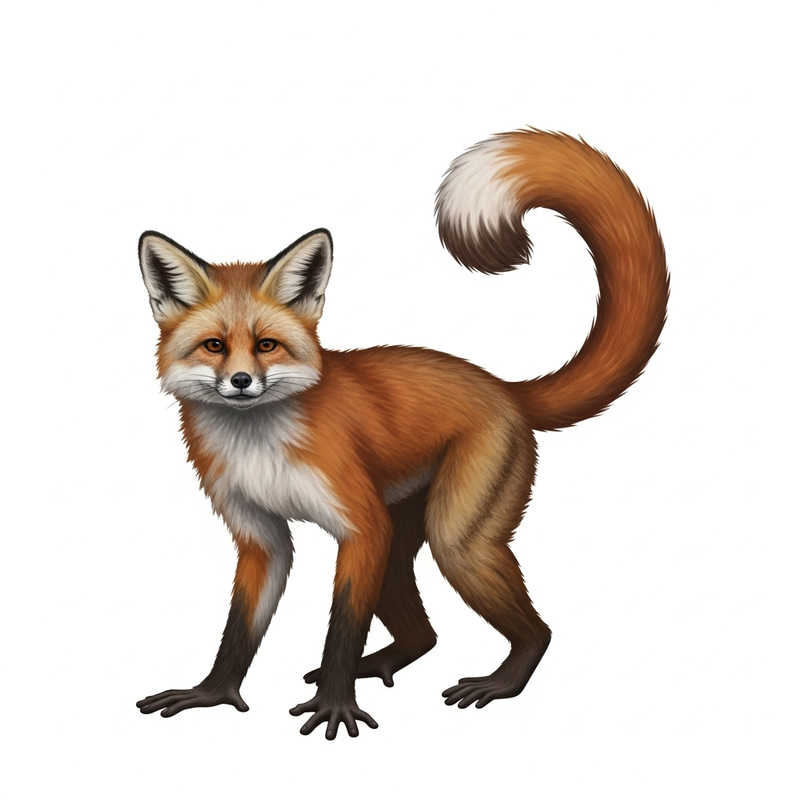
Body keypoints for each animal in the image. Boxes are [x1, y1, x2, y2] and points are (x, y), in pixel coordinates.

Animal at [136, 128, 668, 739]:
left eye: (266, 345)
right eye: (215, 346)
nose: (242, 382)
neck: (259, 446)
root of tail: (504, 387)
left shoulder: (362, 527)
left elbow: (343, 628)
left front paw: (334, 706)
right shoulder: (261, 538)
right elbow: (238, 632)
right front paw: (214, 694)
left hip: (454, 541)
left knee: (539, 631)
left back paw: (500, 683)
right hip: (402, 542)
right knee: (425, 634)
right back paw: (384, 663)